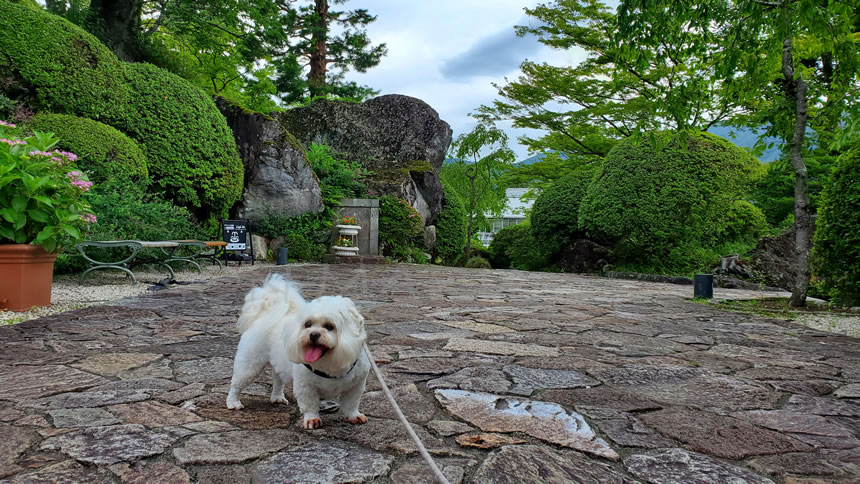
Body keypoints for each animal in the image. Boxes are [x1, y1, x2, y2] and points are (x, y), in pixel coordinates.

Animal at [225, 274, 370, 430]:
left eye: (330, 326)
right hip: (250, 364)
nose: (313, 334)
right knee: (236, 383)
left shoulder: (356, 385)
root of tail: (266, 314)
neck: (329, 362)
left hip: (278, 363)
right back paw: (233, 402)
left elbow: (351, 403)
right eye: (308, 324)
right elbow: (310, 404)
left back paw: (277, 397)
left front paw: (354, 416)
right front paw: (312, 419)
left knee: (277, 379)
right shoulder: (305, 385)